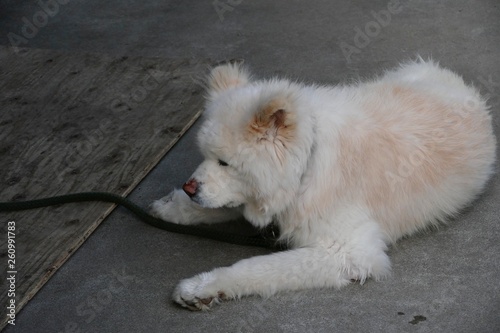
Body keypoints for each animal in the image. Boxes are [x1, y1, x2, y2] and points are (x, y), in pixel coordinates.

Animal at [149, 59, 496, 308]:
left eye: (224, 163)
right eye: (205, 156)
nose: (189, 188)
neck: (307, 166)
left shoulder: (348, 253)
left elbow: (256, 267)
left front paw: (203, 286)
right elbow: (223, 207)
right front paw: (171, 206)